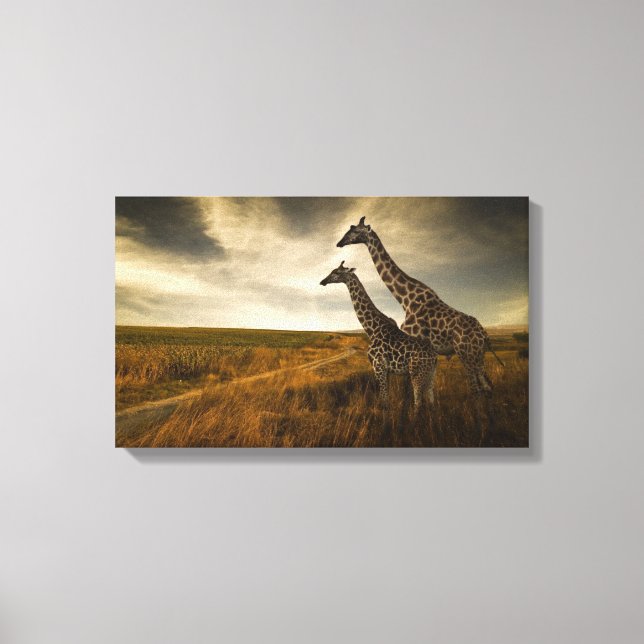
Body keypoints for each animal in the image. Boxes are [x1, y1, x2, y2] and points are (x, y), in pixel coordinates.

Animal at [320, 261, 437, 416]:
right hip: (430, 375)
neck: (372, 329)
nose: (323, 281)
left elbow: (384, 401)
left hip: (417, 374)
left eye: (336, 272)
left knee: (418, 403)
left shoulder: (379, 367)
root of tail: (434, 357)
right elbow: (385, 398)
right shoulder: (385, 371)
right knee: (431, 400)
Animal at [337, 217, 504, 401]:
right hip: (478, 355)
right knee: (486, 386)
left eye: (354, 230)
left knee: (476, 388)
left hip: (466, 353)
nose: (339, 243)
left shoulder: (413, 341)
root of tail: (484, 335)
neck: (405, 299)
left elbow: (409, 387)